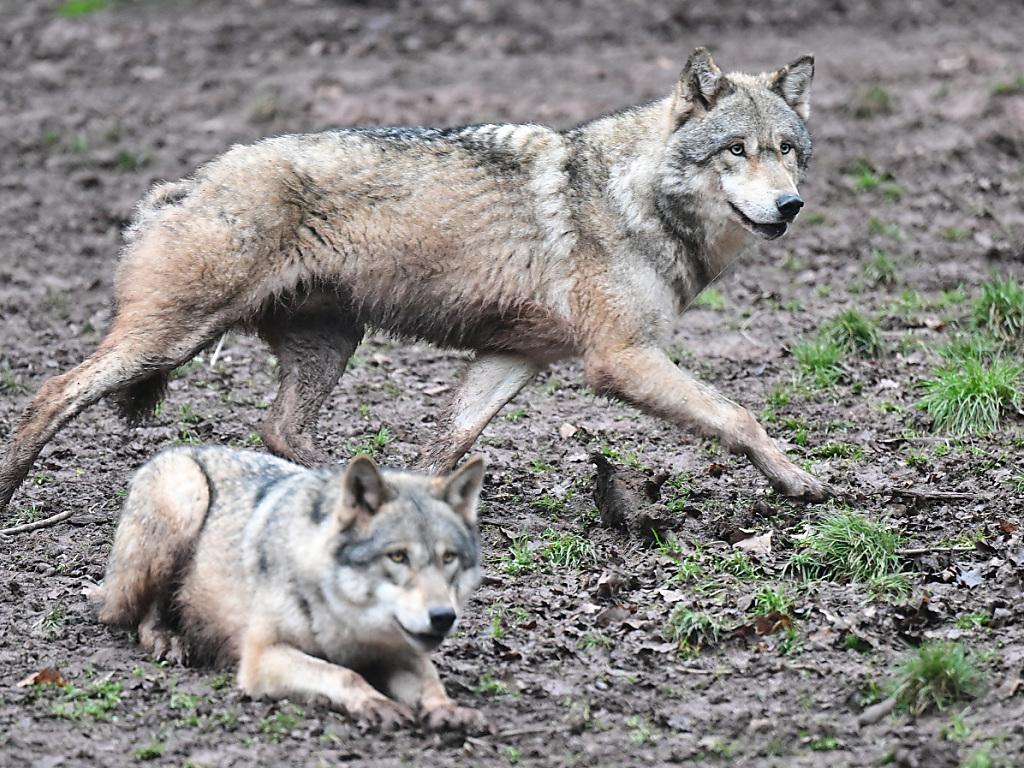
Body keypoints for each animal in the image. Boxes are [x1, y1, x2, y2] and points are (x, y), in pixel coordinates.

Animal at [0, 48, 827, 512]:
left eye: (787, 149)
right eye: (737, 150)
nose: (790, 205)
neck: (635, 196)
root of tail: (188, 183)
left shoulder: (514, 358)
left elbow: (447, 441)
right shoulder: (620, 362)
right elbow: (739, 416)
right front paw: (797, 480)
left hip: (330, 344)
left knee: (280, 430)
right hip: (171, 341)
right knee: (48, 394)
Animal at [87, 448, 483, 729]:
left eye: (449, 558)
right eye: (398, 557)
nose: (443, 617)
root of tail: (177, 449)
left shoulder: (402, 652)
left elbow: (431, 681)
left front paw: (448, 710)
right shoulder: (262, 658)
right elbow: (343, 674)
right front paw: (376, 702)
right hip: (185, 500)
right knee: (137, 615)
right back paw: (167, 638)